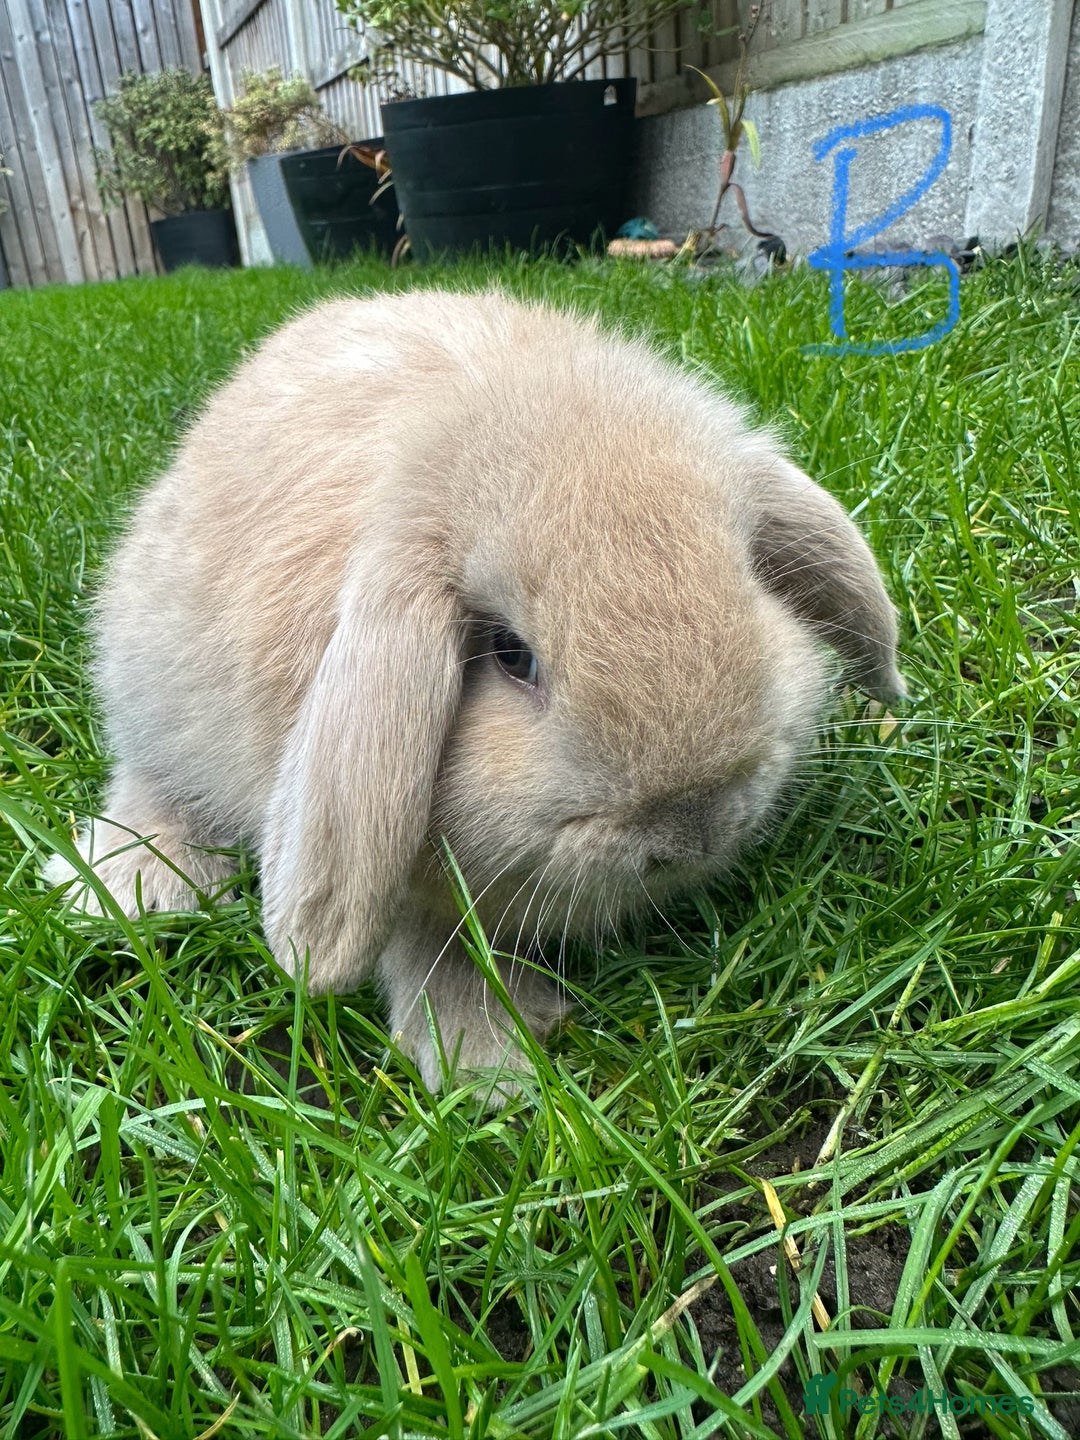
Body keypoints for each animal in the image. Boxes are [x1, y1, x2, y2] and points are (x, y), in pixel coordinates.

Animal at [45, 287, 905, 1090]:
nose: (693, 825)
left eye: (747, 582)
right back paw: (128, 888)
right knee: (154, 784)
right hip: (152, 688)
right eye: (511, 655)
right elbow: (431, 942)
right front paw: (488, 1063)